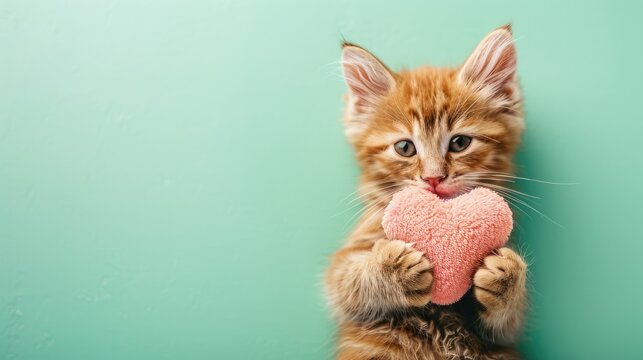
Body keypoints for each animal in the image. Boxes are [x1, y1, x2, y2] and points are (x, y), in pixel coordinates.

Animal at [328, 26, 528, 360]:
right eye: (405, 147)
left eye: (460, 143)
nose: (434, 178)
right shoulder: (345, 267)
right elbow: (345, 281)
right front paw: (394, 269)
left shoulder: (503, 337)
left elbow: (507, 323)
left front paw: (506, 275)